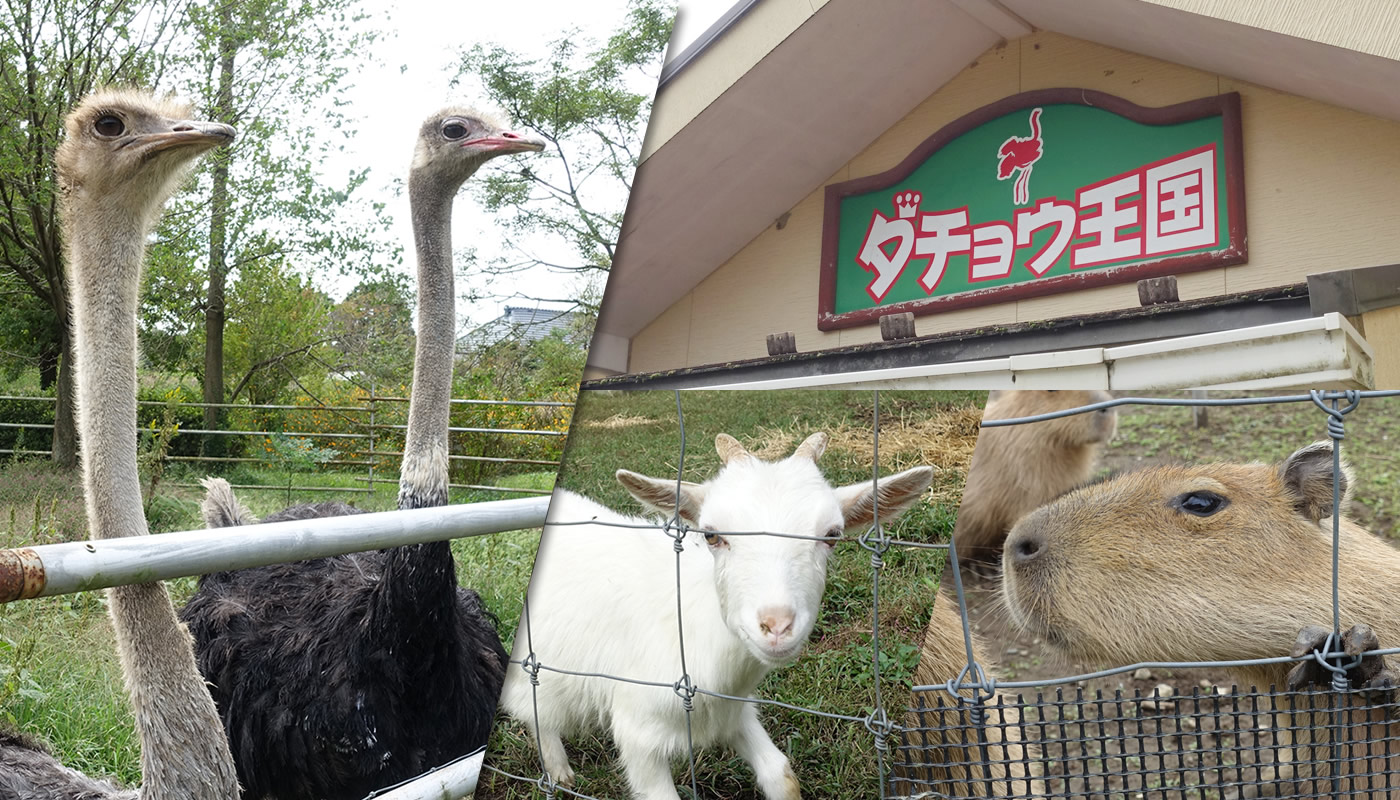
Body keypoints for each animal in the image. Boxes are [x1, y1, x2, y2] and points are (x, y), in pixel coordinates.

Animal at [498, 431, 935, 800]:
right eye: (711, 534)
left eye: (831, 535)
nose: (776, 626)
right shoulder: (638, 730)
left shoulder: (733, 709)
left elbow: (780, 774)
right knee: (535, 709)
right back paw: (558, 772)